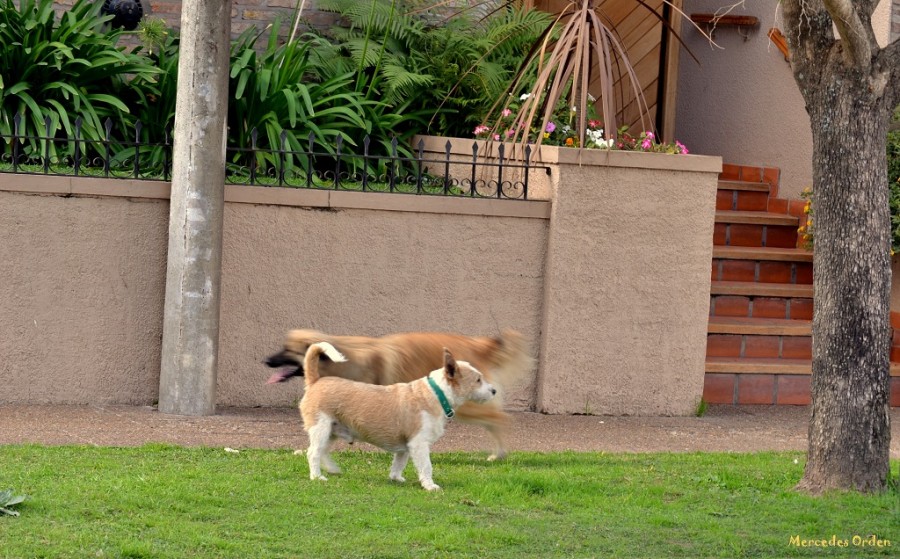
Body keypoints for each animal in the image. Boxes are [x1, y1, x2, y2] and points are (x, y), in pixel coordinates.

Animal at [268, 328, 536, 460]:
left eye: (288, 350)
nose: (265, 361)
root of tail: (477, 344)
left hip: (469, 406)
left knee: (500, 419)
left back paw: (499, 454)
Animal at [298, 342, 496, 490]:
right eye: (478, 380)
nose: (494, 390)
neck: (437, 393)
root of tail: (315, 380)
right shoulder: (419, 443)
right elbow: (426, 466)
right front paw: (430, 485)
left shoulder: (405, 447)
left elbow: (399, 463)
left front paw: (395, 478)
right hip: (321, 428)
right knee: (313, 453)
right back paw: (317, 476)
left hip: (331, 431)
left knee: (322, 452)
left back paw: (331, 469)